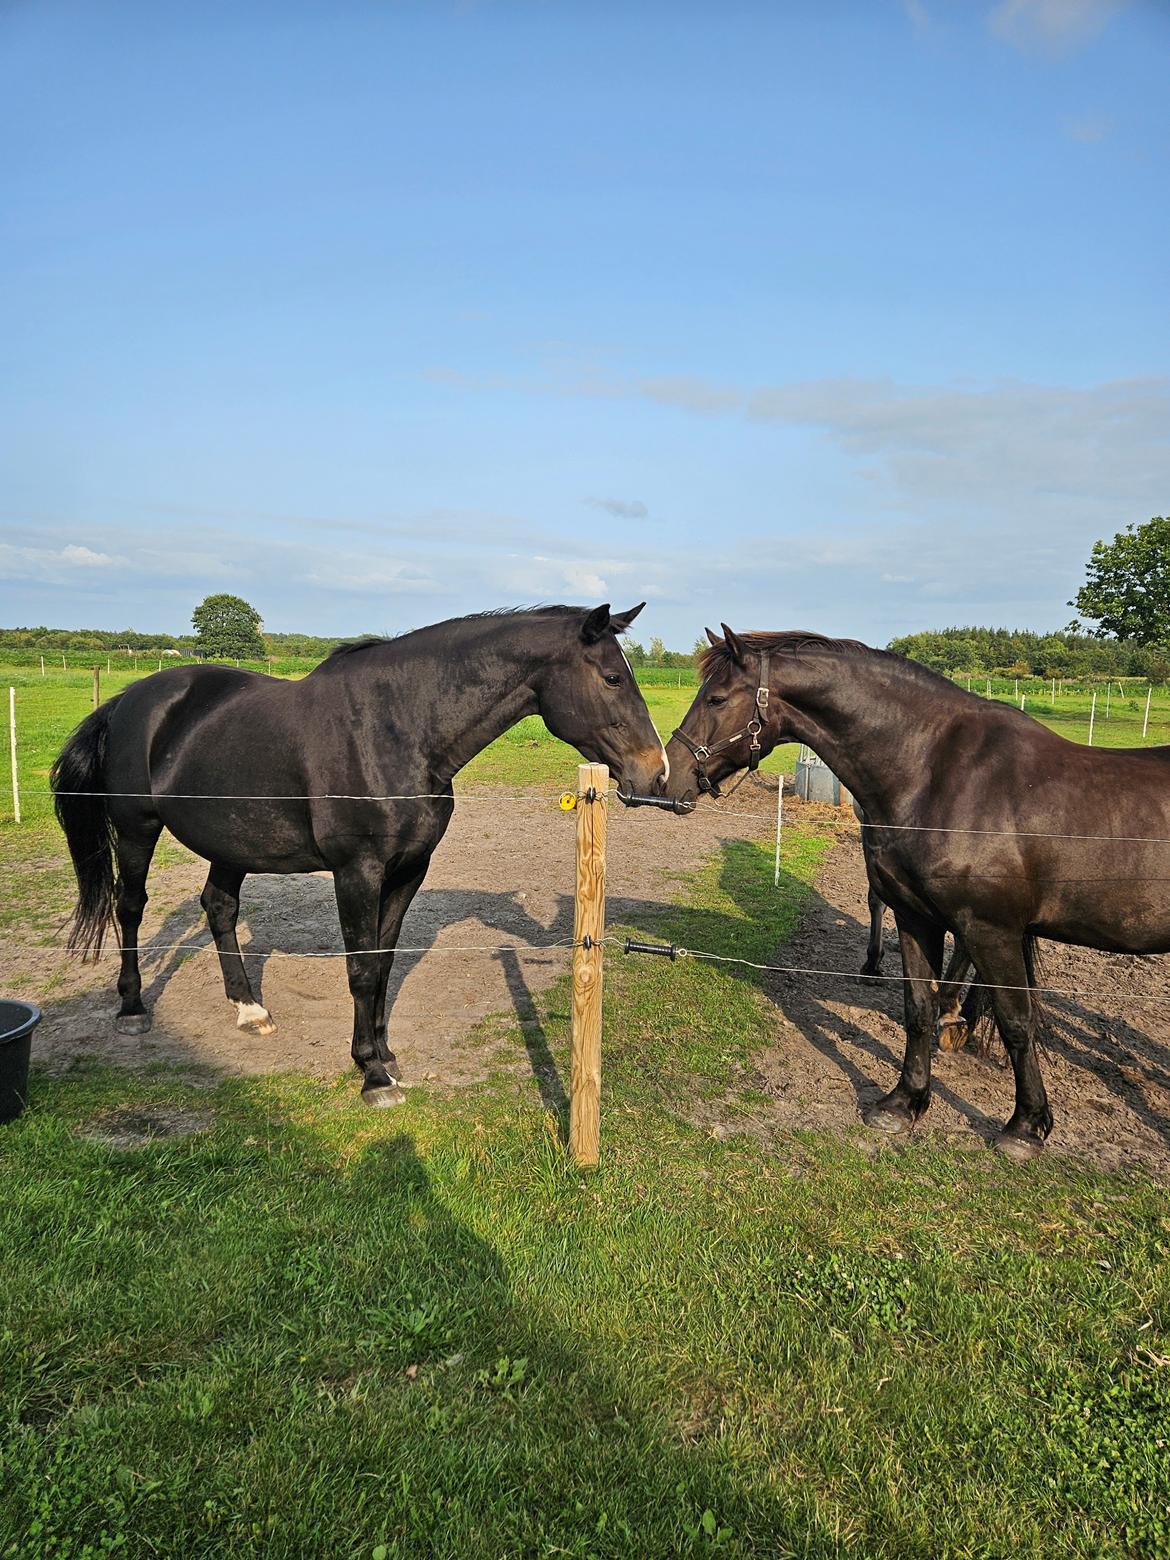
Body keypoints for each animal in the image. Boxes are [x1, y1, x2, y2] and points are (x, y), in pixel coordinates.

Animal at [54, 602, 664, 1104]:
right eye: (612, 678)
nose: (655, 773)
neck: (395, 731)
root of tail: (129, 701)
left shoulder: (408, 871)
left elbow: (385, 960)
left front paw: (385, 1053)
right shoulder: (357, 872)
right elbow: (361, 968)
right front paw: (371, 1073)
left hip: (232, 840)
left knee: (219, 908)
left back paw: (249, 1009)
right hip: (137, 829)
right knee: (130, 907)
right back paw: (132, 1008)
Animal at [664, 624, 1170, 1160]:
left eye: (717, 698)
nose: (666, 776)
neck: (937, 773)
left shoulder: (991, 930)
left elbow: (1016, 1022)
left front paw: (1026, 1126)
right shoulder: (915, 918)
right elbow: (918, 1010)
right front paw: (905, 1102)